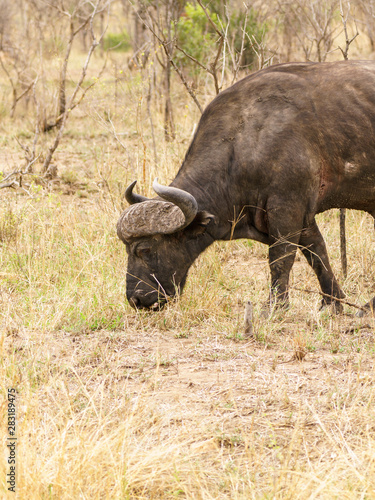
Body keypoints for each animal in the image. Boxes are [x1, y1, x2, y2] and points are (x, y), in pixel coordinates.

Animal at [118, 60, 375, 314]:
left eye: (144, 249)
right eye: (126, 249)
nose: (136, 300)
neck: (244, 139)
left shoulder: (287, 206)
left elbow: (281, 256)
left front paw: (275, 307)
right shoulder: (302, 213)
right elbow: (316, 252)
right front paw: (332, 301)